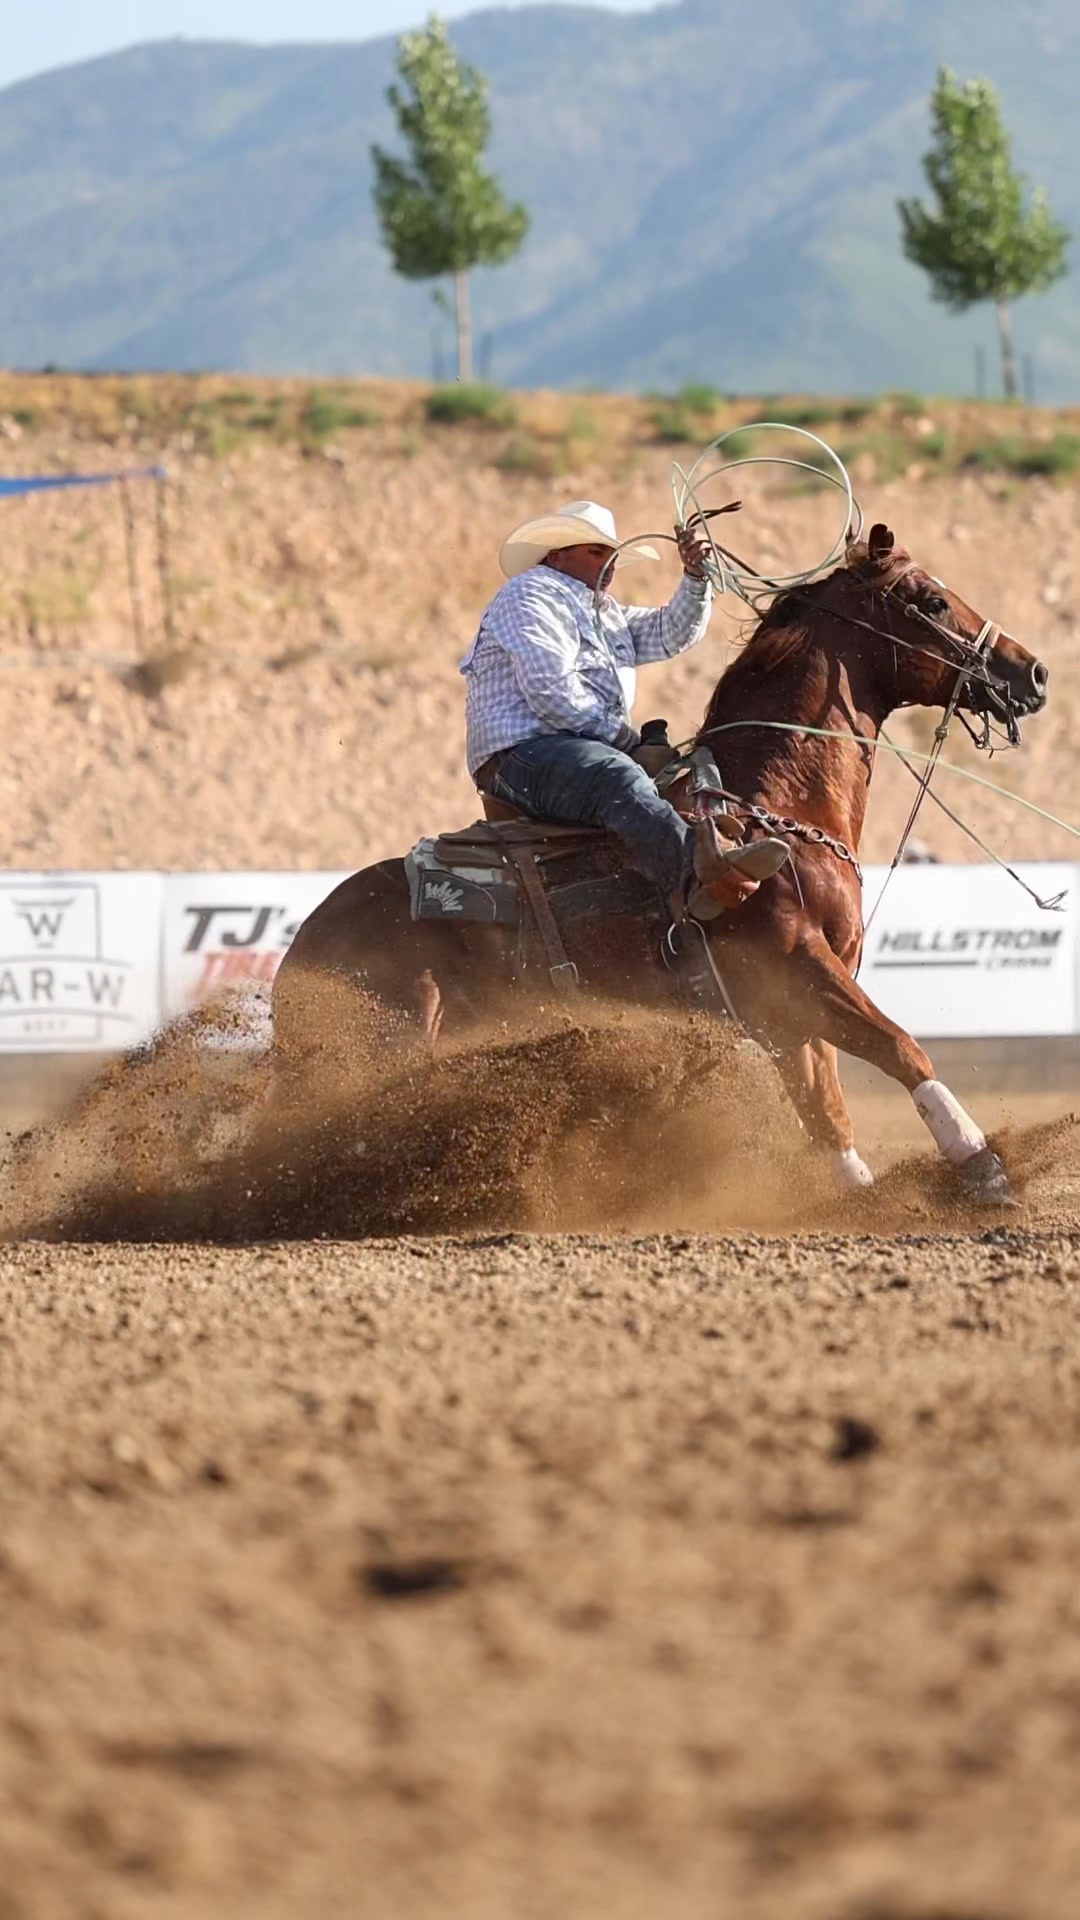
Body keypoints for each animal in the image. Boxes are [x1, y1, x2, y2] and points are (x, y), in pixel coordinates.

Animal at [273, 523, 1049, 1205]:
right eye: (932, 601)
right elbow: (901, 1049)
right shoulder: (799, 964)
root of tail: (300, 949)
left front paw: (860, 1195)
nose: (1032, 671)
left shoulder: (785, 1009)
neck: (769, 807)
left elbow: (823, 1106)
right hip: (394, 1034)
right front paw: (982, 1168)